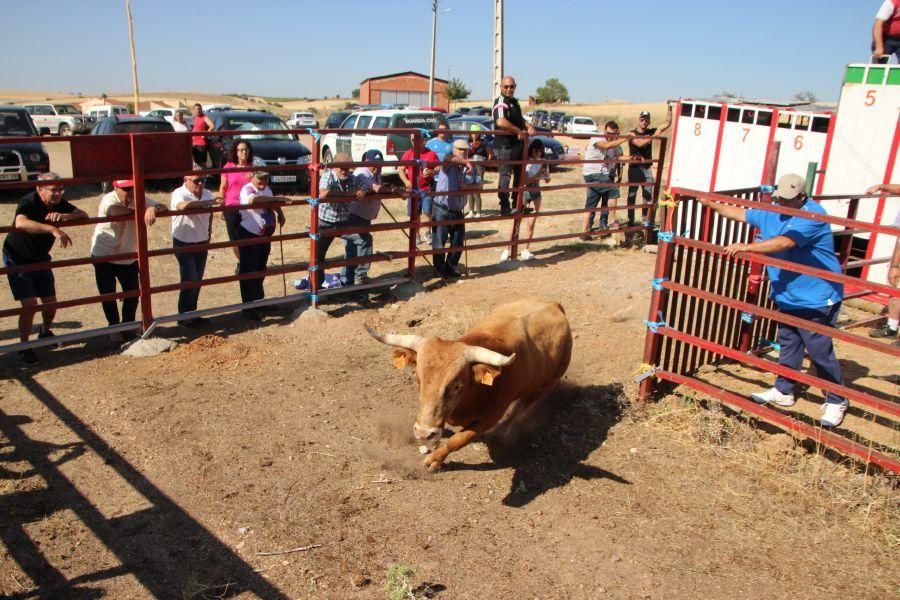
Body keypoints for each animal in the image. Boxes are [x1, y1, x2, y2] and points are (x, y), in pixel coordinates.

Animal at [368, 298, 572, 468]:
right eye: (418, 380)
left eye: (457, 386)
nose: (424, 433)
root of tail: (554, 304)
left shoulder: (488, 419)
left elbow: (458, 440)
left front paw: (435, 460)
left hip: (546, 386)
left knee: (521, 408)